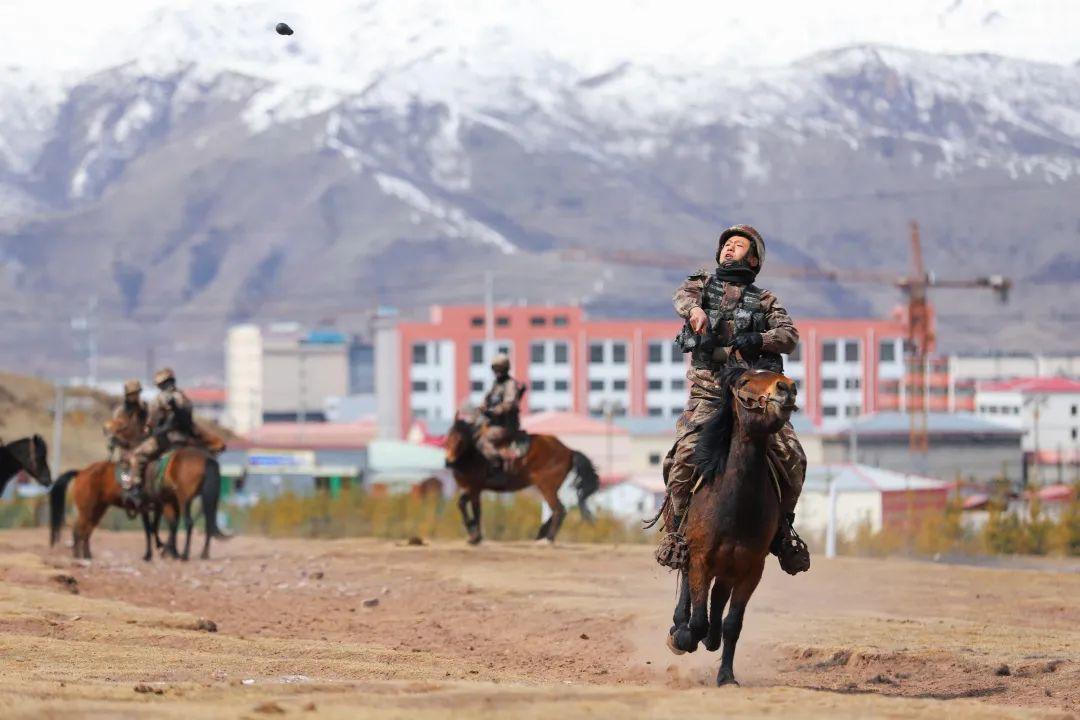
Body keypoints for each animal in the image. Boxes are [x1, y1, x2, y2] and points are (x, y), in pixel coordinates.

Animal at [49, 451, 231, 561]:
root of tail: (81, 473)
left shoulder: (159, 505)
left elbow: (157, 527)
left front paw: (163, 551)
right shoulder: (155, 505)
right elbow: (153, 528)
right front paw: (156, 552)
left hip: (96, 508)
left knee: (84, 530)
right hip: (90, 508)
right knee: (81, 529)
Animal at [444, 414, 604, 544]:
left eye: (460, 440)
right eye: (448, 437)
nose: (448, 462)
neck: (475, 454)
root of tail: (569, 450)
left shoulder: (475, 488)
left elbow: (473, 509)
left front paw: (475, 536)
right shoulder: (471, 488)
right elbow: (466, 506)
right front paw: (473, 534)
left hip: (547, 487)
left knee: (559, 509)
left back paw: (548, 539)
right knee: (560, 509)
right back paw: (541, 535)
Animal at [660, 367, 799, 686]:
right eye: (745, 381)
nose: (786, 388)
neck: (735, 504)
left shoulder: (751, 569)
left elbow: (732, 624)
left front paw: (726, 676)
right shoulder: (700, 560)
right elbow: (697, 619)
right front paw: (682, 637)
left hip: (728, 567)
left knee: (718, 599)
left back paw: (710, 639)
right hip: (691, 553)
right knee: (688, 587)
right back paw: (680, 626)